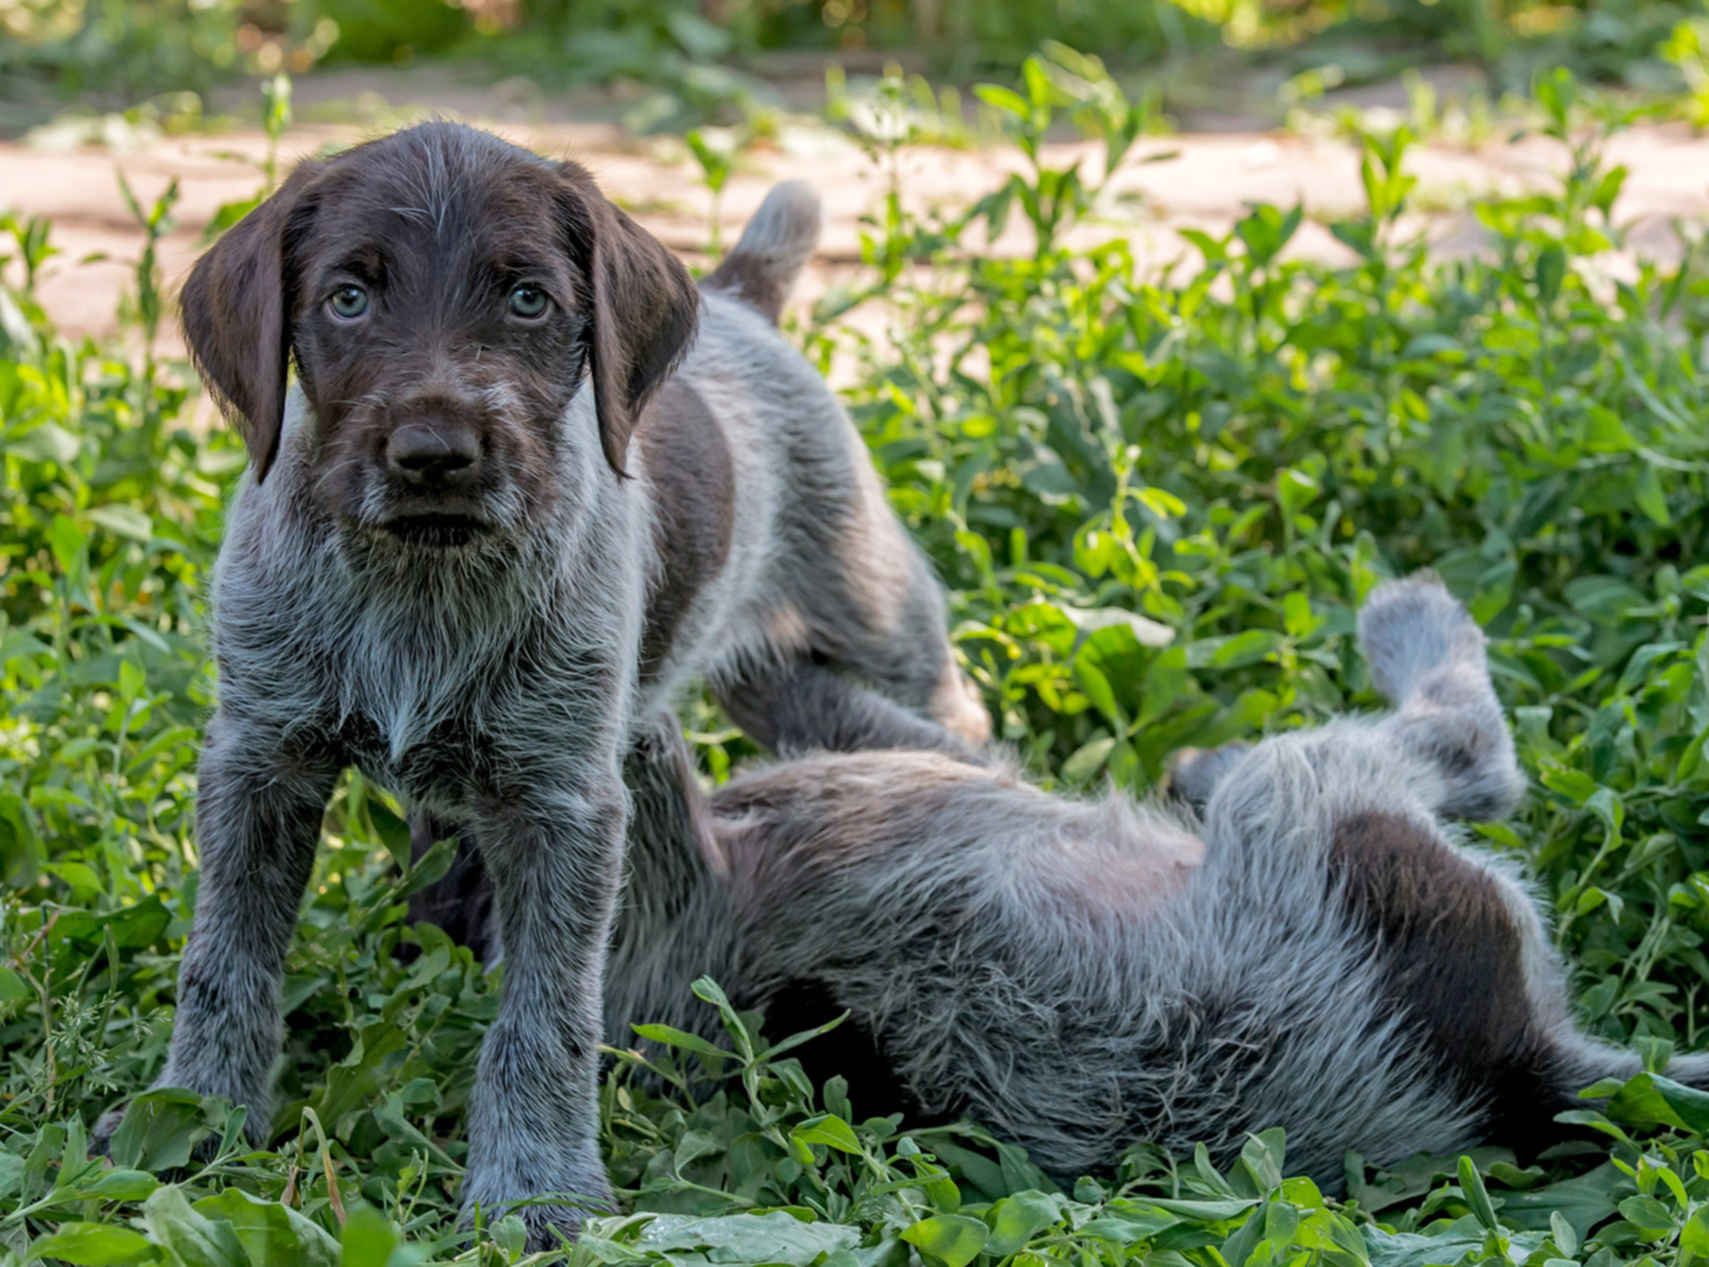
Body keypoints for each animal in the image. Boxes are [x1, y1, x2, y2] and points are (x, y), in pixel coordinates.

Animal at [96, 118, 991, 1244]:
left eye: (527, 299)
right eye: (346, 298)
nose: (435, 453)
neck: (418, 577)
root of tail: (737, 299)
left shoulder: (562, 806)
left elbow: (545, 1015)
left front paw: (537, 1187)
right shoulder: (259, 763)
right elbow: (223, 961)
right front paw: (195, 1114)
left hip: (872, 619)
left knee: (952, 710)